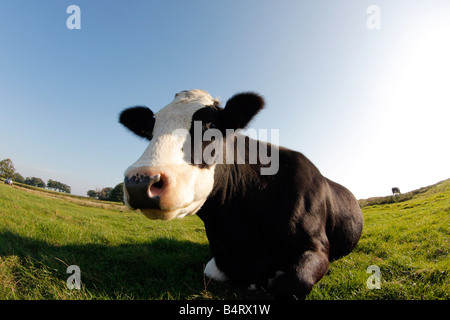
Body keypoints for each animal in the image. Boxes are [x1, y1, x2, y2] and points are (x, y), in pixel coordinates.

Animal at [120, 89, 366, 298]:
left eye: (211, 124)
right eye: (150, 132)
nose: (140, 181)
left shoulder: (316, 245)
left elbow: (293, 281)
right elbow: (210, 272)